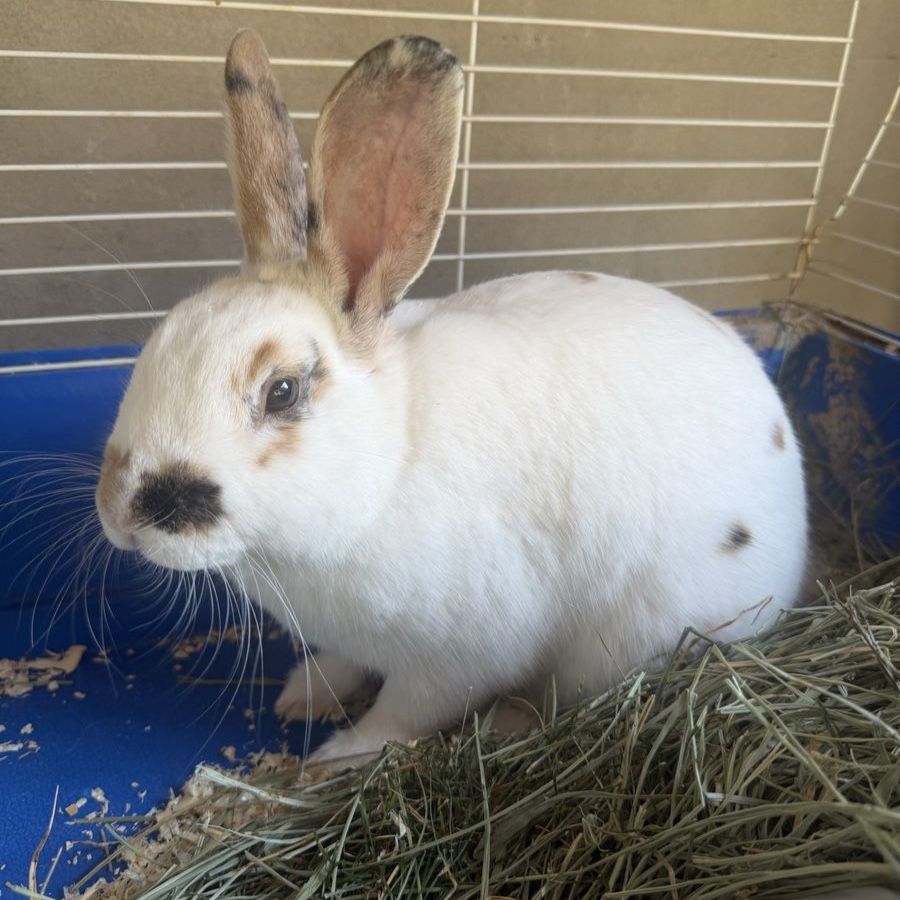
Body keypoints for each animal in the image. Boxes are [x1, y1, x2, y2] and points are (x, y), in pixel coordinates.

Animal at [95, 29, 808, 766]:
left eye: (282, 391)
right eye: (158, 341)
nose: (120, 514)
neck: (387, 465)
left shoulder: (462, 654)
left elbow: (406, 712)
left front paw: (336, 758)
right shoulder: (357, 640)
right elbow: (346, 664)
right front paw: (304, 695)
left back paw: (509, 723)